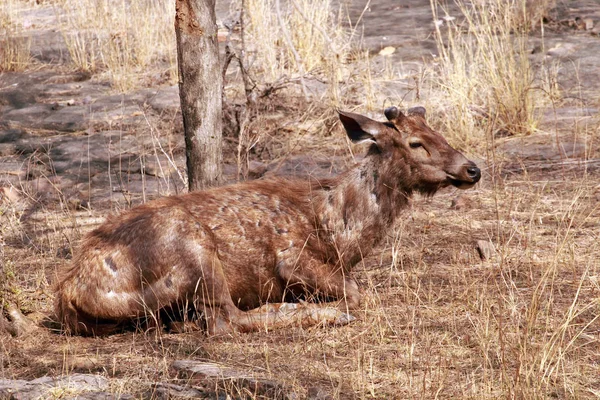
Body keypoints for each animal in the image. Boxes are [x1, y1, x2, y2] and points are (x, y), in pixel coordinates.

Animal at [54, 105, 480, 334]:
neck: (340, 233)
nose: (472, 169)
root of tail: (72, 291)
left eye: (439, 132)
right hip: (194, 253)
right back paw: (311, 312)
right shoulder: (291, 257)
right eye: (415, 143)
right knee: (226, 321)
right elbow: (355, 291)